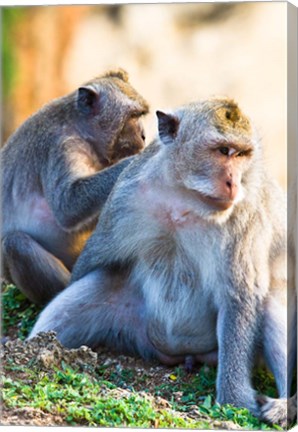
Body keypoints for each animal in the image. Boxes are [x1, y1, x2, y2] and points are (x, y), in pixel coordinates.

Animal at [0, 69, 148, 304]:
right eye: (133, 117)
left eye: (141, 115)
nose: (143, 135)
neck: (80, 129)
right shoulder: (62, 146)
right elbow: (68, 205)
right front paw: (136, 161)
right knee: (15, 244)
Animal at [29, 98, 296, 426]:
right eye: (223, 151)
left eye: (242, 154)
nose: (233, 182)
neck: (184, 200)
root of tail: (178, 355)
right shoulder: (126, 195)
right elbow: (91, 263)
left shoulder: (244, 216)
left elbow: (240, 295)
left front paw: (235, 400)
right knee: (93, 287)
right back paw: (41, 347)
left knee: (270, 302)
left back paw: (285, 405)